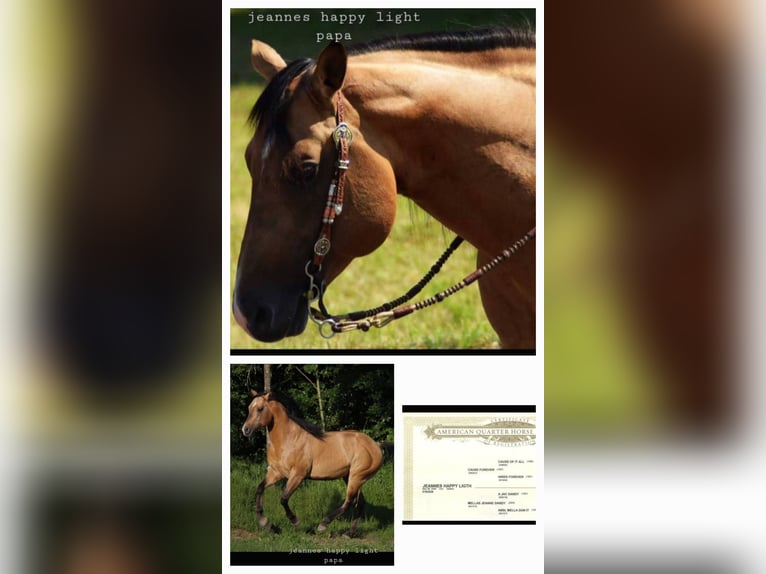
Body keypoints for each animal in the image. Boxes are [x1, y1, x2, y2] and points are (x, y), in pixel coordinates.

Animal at [240, 391, 384, 535]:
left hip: (357, 477)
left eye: (260, 409)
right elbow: (259, 489)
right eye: (249, 408)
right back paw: (348, 534)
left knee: (349, 502)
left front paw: (294, 520)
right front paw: (265, 523)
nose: (245, 430)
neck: (288, 439)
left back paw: (323, 525)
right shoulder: (276, 472)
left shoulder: (298, 475)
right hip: (350, 477)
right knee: (360, 503)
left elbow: (284, 498)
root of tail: (376, 445)